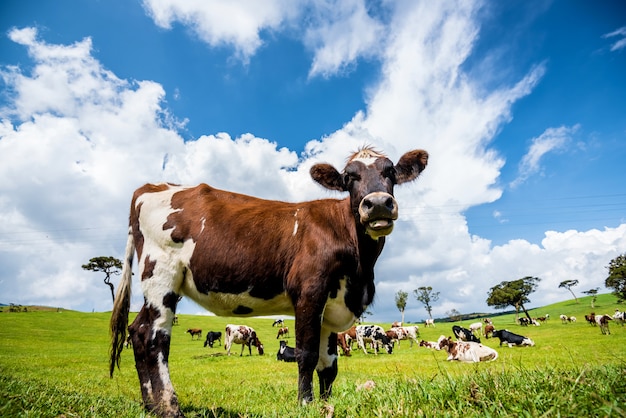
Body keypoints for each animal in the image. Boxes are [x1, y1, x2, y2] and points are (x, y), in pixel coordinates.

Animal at [108, 145, 428, 416]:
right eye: (350, 176)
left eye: (390, 171)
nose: (378, 204)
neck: (359, 267)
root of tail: (151, 187)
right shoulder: (309, 293)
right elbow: (307, 355)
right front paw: (305, 404)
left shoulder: (332, 305)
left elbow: (329, 366)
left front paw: (326, 405)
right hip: (161, 274)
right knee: (154, 337)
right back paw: (169, 407)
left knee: (137, 331)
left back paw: (150, 406)